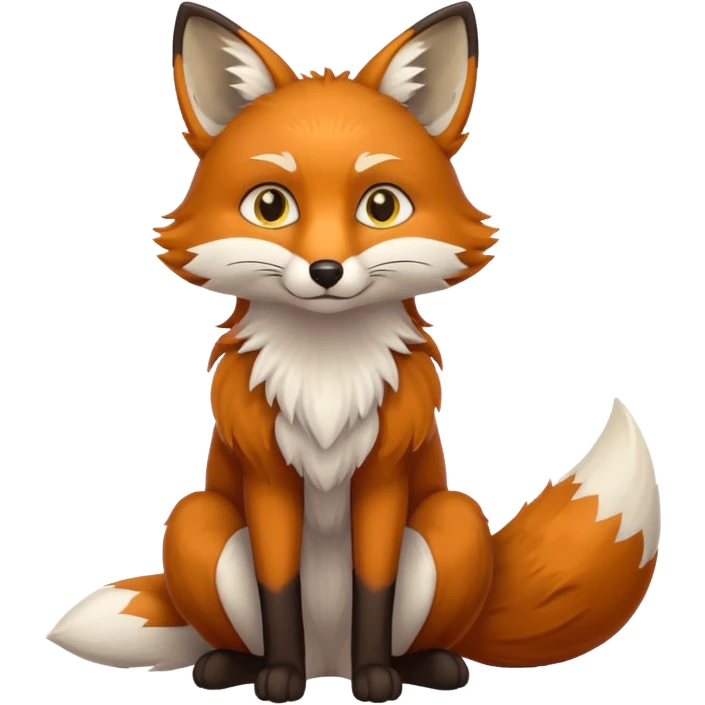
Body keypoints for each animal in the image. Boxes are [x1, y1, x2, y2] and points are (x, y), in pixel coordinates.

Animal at [45, 1, 663, 703]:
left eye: (381, 205)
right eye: (270, 205)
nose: (326, 270)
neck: (325, 379)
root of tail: (328, 661)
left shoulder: (383, 476)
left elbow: (375, 586)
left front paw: (376, 681)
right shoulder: (268, 478)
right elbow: (278, 588)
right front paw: (280, 679)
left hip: (452, 519)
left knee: (421, 628)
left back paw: (423, 667)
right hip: (197, 521)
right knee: (233, 624)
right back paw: (234, 666)